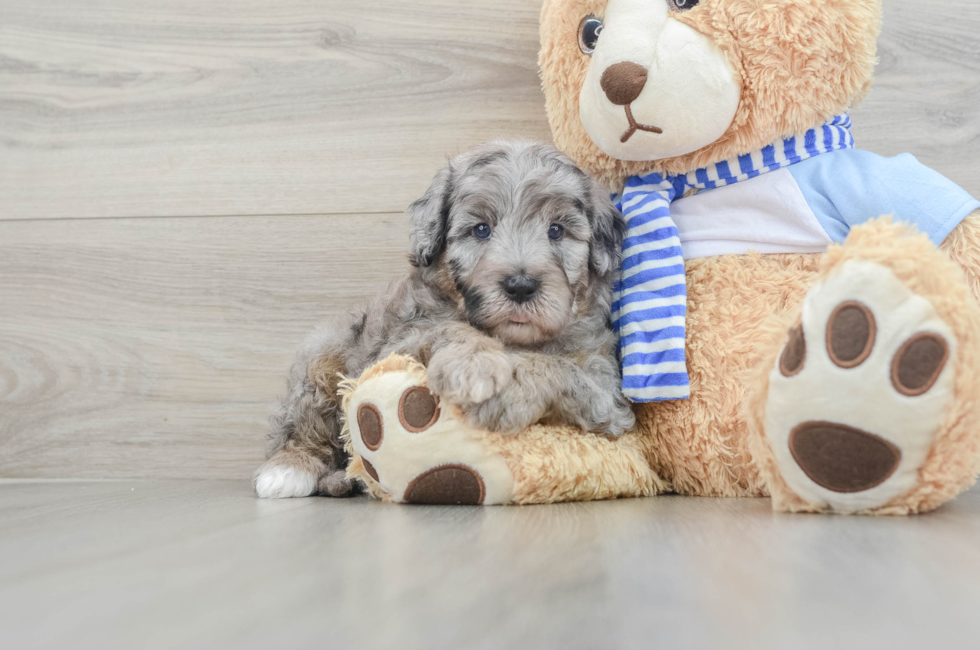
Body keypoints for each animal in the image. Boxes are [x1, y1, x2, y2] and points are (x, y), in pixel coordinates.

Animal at [253, 140, 636, 496]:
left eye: (556, 231)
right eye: (480, 230)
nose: (520, 286)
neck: (513, 339)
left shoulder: (605, 390)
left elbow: (560, 370)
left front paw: (508, 392)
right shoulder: (398, 343)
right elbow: (449, 327)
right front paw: (476, 365)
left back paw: (344, 480)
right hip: (322, 360)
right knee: (303, 426)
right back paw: (289, 470)